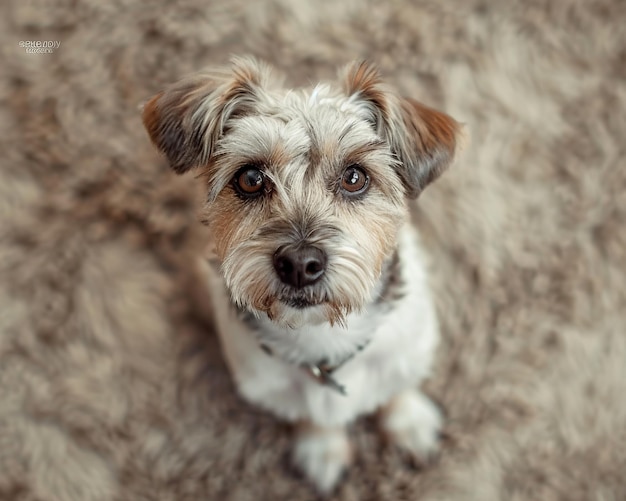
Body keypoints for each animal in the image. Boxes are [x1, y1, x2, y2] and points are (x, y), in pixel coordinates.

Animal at [141, 57, 464, 492]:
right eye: (250, 178)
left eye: (354, 177)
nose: (299, 263)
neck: (322, 337)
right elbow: (311, 417)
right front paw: (322, 448)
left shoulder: (409, 348)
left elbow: (398, 386)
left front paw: (409, 422)